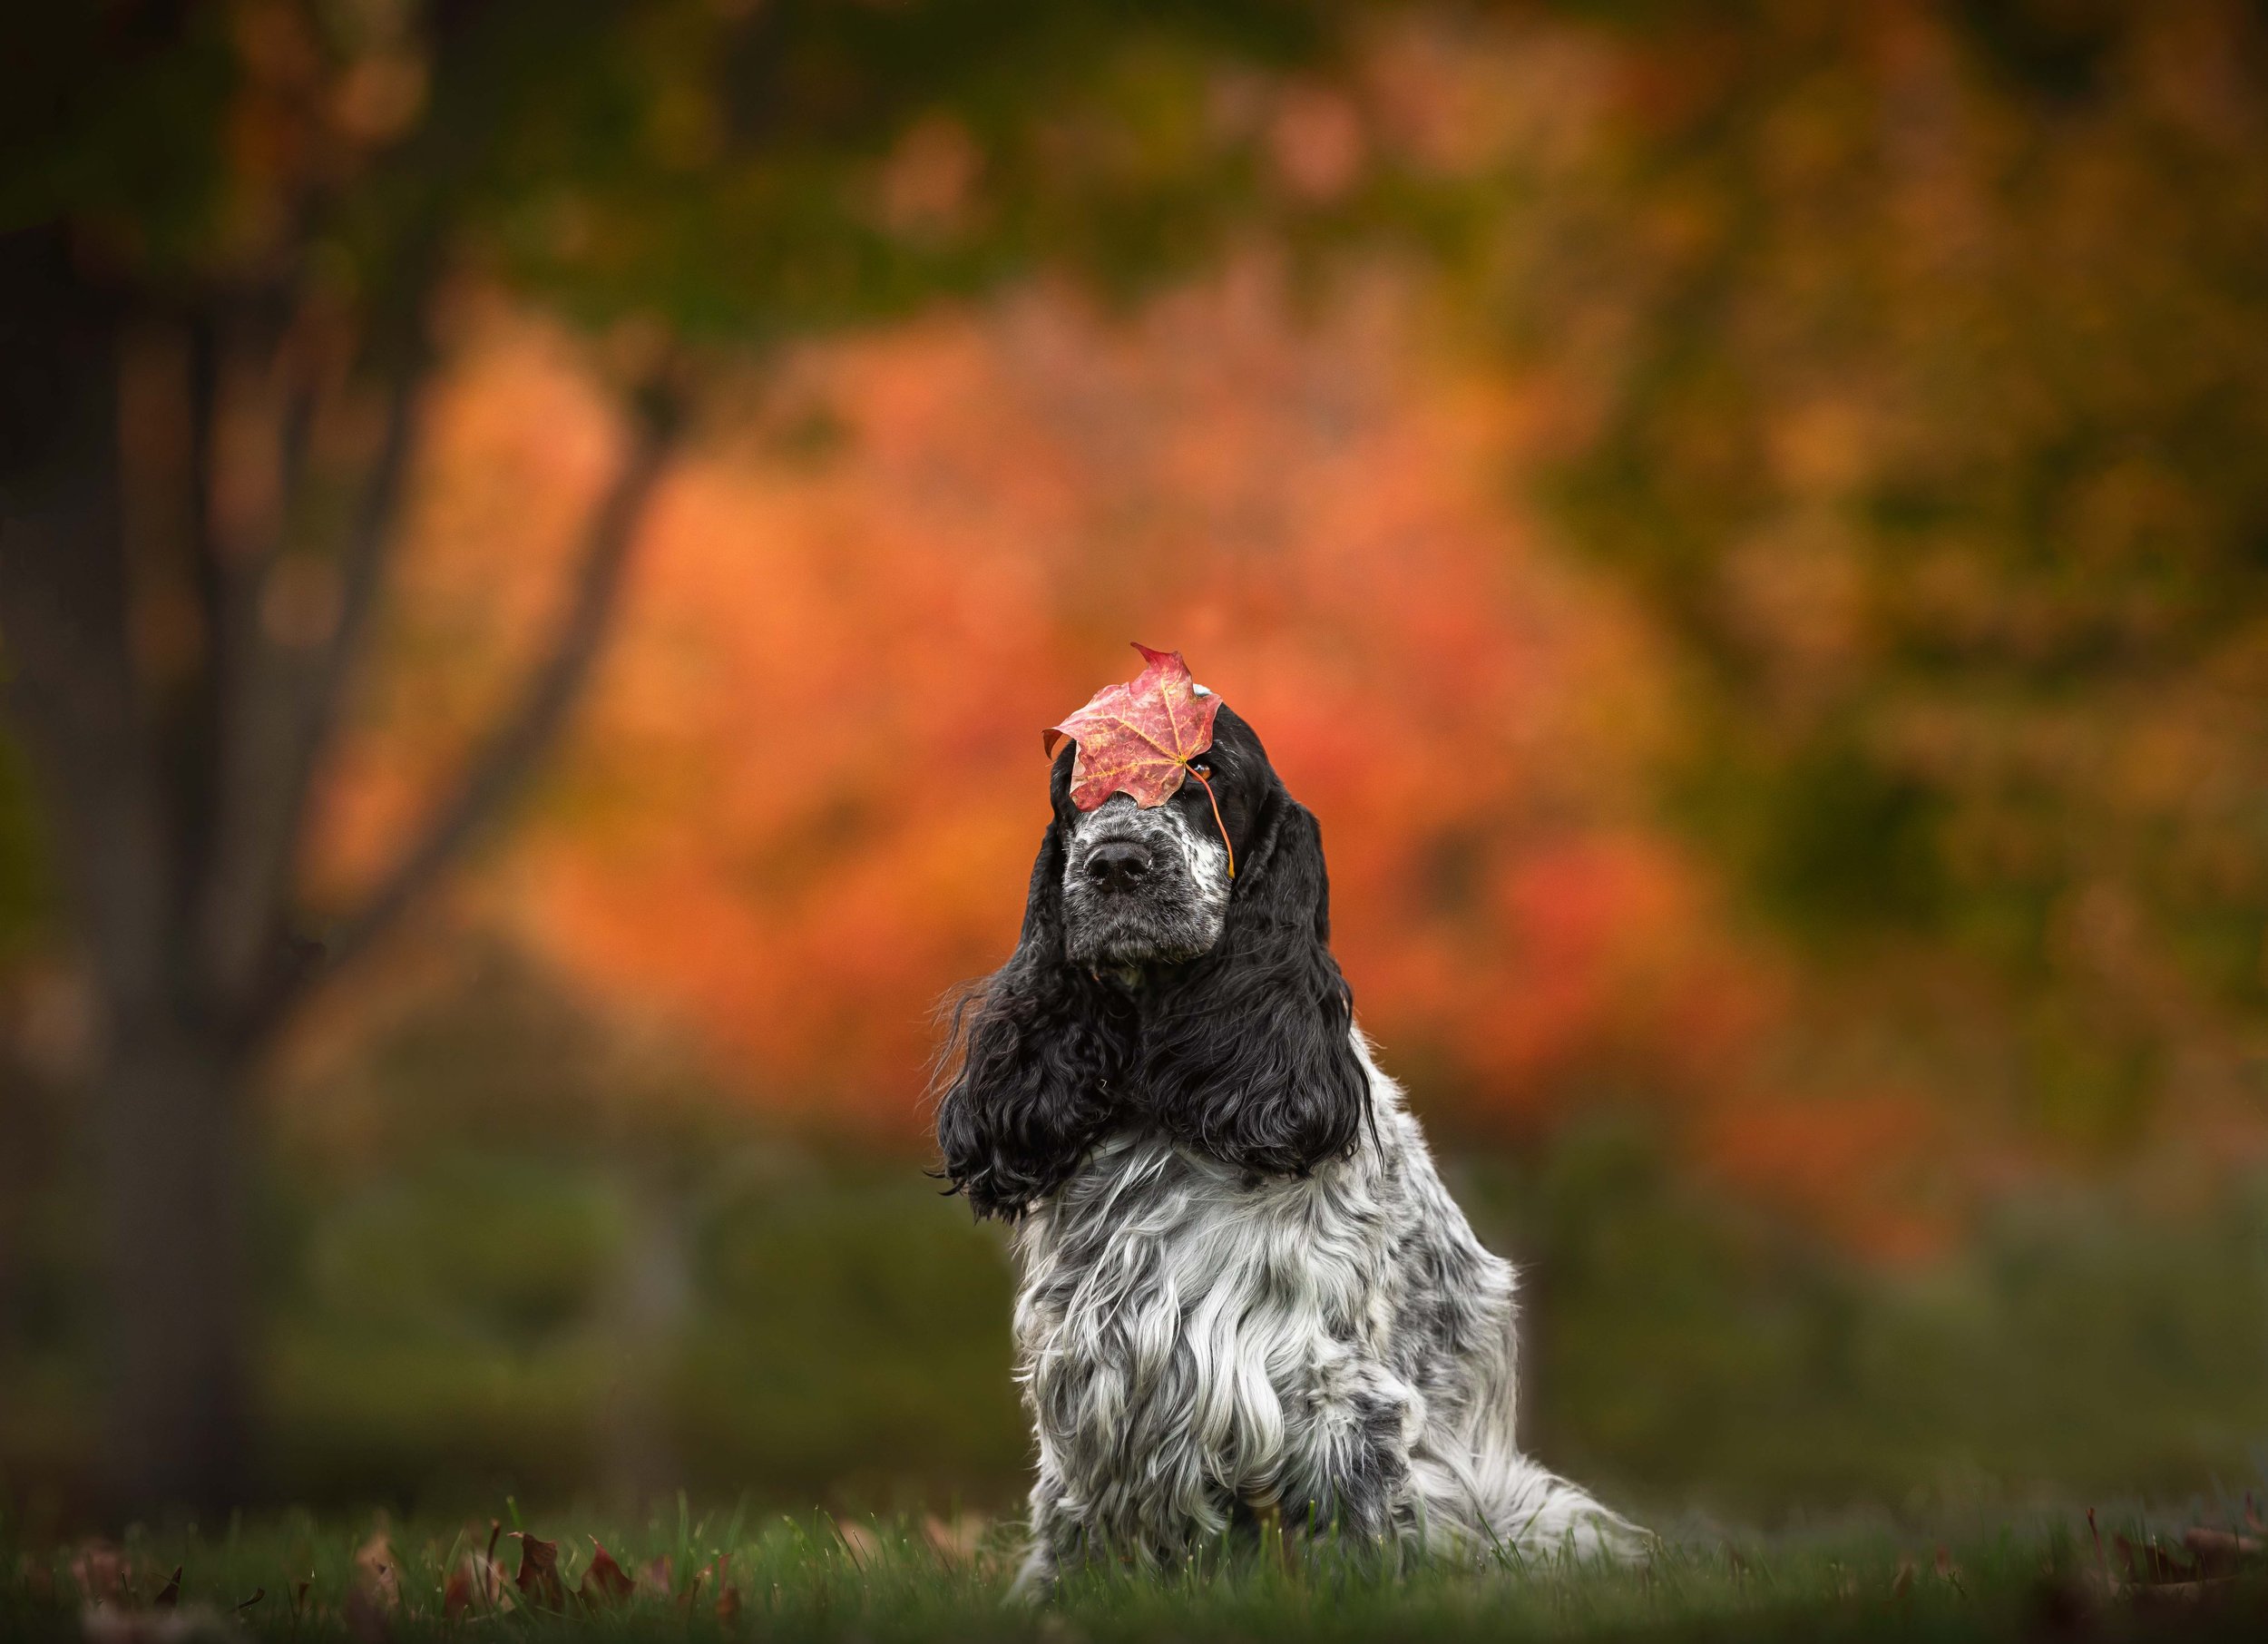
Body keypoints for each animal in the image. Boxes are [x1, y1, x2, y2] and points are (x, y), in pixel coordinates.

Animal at [930, 680, 1642, 1587]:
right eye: (1074, 786)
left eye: (1203, 770)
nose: (1116, 863)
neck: (1159, 1089)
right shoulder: (1089, 1381)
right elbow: (1072, 1535)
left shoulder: (1335, 1393)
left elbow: (1355, 1532)